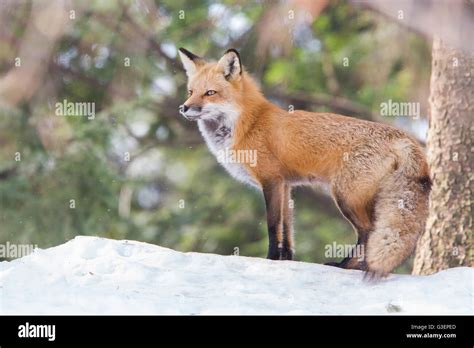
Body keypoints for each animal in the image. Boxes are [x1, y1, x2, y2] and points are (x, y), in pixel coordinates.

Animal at [177, 48, 430, 278]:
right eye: (191, 91)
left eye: (210, 92)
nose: (184, 107)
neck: (248, 124)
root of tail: (403, 137)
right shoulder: (286, 185)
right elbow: (287, 231)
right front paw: (287, 261)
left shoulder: (271, 180)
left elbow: (273, 226)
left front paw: (270, 260)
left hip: (345, 197)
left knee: (368, 232)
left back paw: (347, 266)